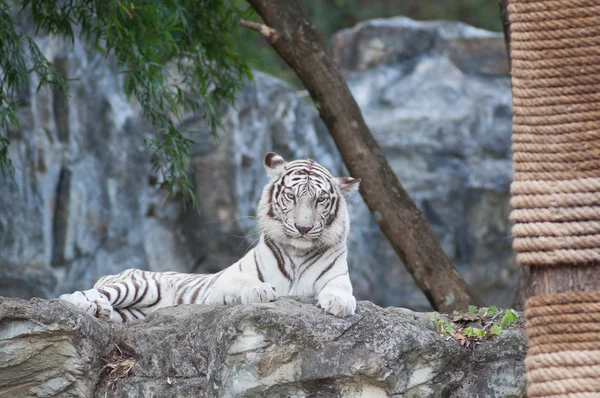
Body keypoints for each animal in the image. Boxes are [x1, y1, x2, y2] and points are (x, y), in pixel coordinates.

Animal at [59, 151, 360, 322]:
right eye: (291, 196)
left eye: (320, 199)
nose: (303, 228)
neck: (297, 252)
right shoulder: (225, 280)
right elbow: (247, 281)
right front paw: (261, 291)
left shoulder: (338, 277)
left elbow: (341, 289)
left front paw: (340, 303)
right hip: (142, 284)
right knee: (82, 293)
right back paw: (83, 303)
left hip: (134, 311)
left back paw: (102, 311)